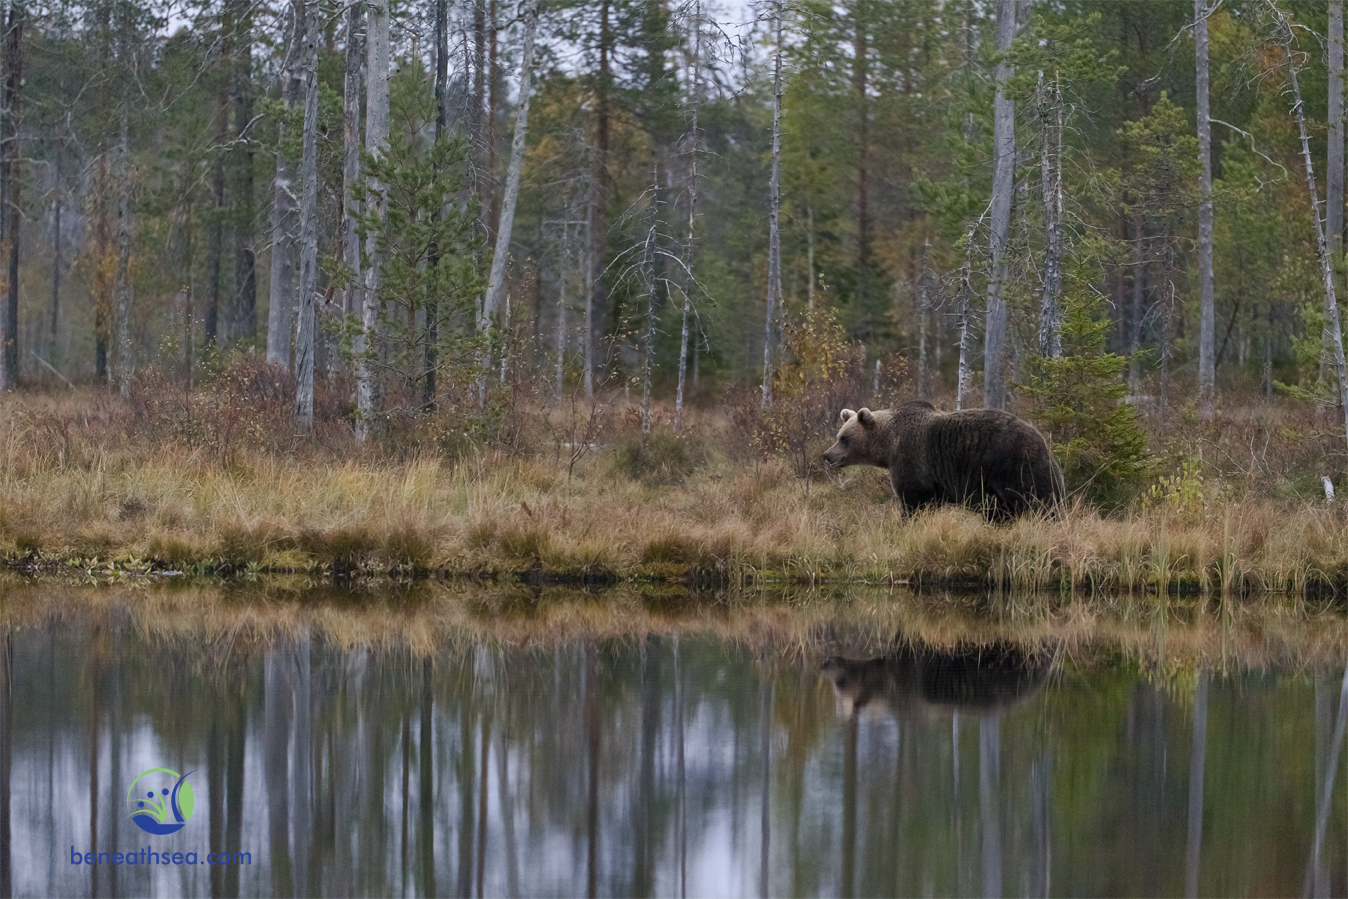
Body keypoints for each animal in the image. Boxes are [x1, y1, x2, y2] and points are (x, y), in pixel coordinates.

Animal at [819, 401, 1062, 520]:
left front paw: (907, 523)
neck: (889, 445)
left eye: (844, 438)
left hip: (1015, 468)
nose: (827, 454)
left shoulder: (913, 460)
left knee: (1040, 504)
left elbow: (915, 501)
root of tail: (1043, 442)